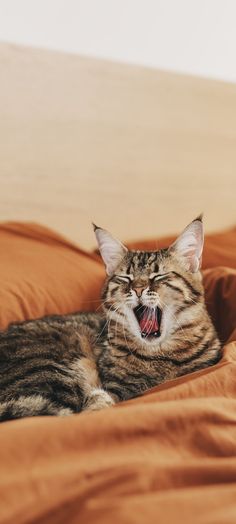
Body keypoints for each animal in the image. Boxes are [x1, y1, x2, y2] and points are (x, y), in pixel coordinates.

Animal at [0, 217, 221, 422]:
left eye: (158, 276)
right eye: (125, 278)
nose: (138, 289)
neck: (160, 355)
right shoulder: (116, 387)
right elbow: (103, 400)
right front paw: (98, 402)